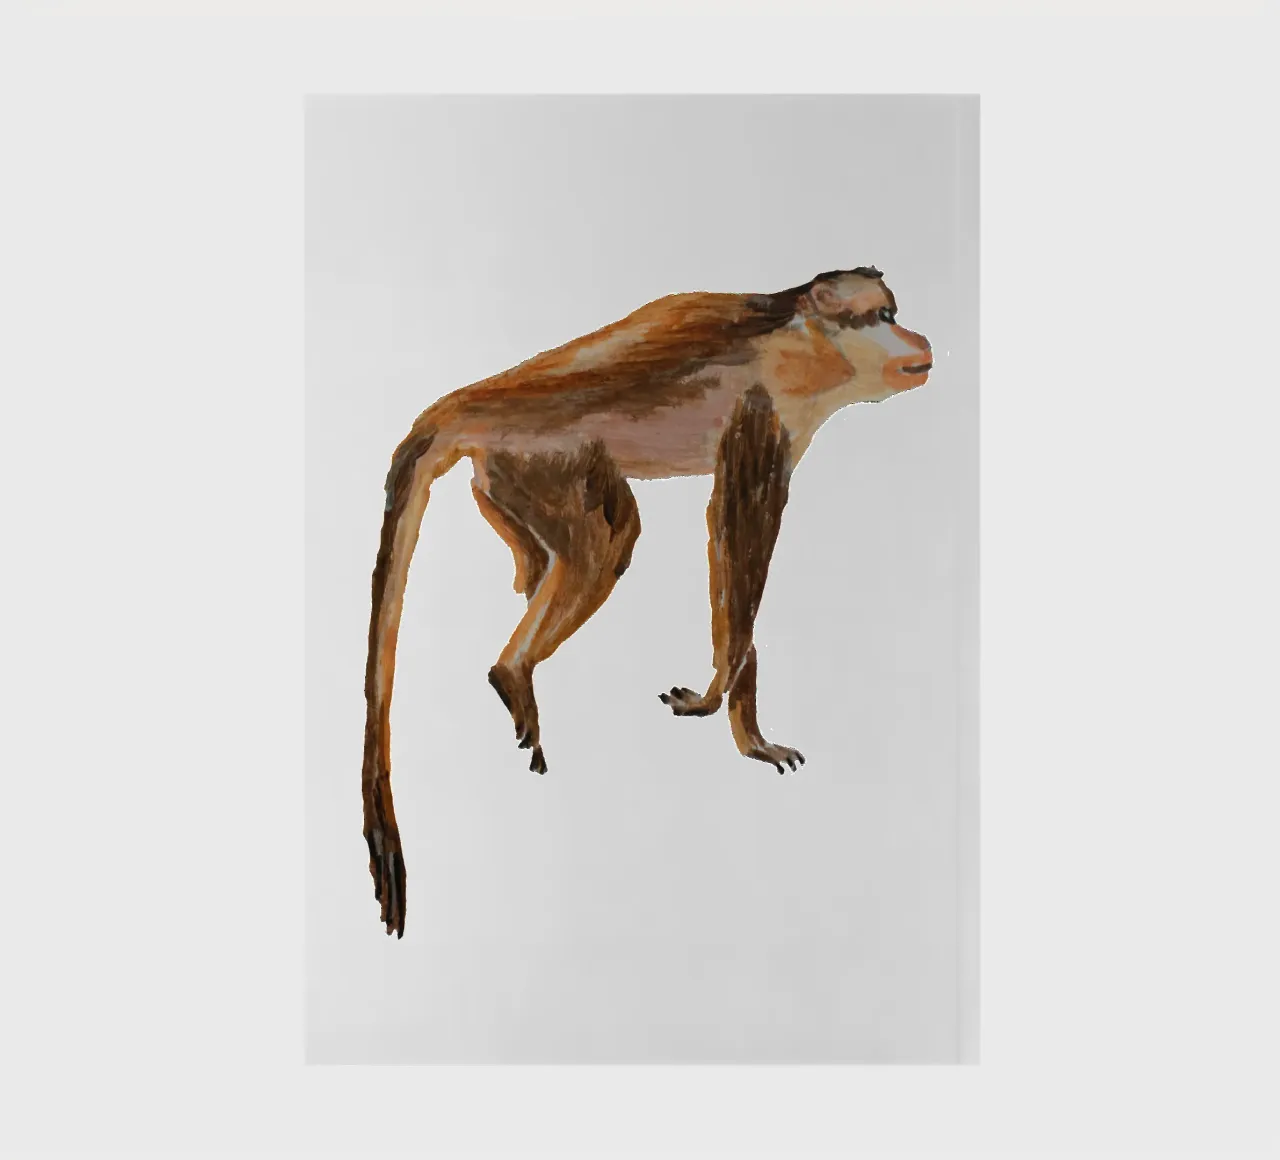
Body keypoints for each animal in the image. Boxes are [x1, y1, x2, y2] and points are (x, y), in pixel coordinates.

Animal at [362, 266, 933, 935]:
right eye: (881, 318)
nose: (916, 338)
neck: (801, 334)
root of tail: (469, 401)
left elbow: (735, 562)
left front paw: (748, 731)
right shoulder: (763, 407)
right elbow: (735, 533)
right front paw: (715, 698)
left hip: (503, 474)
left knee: (550, 556)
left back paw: (519, 654)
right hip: (541, 451)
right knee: (609, 540)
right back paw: (512, 670)